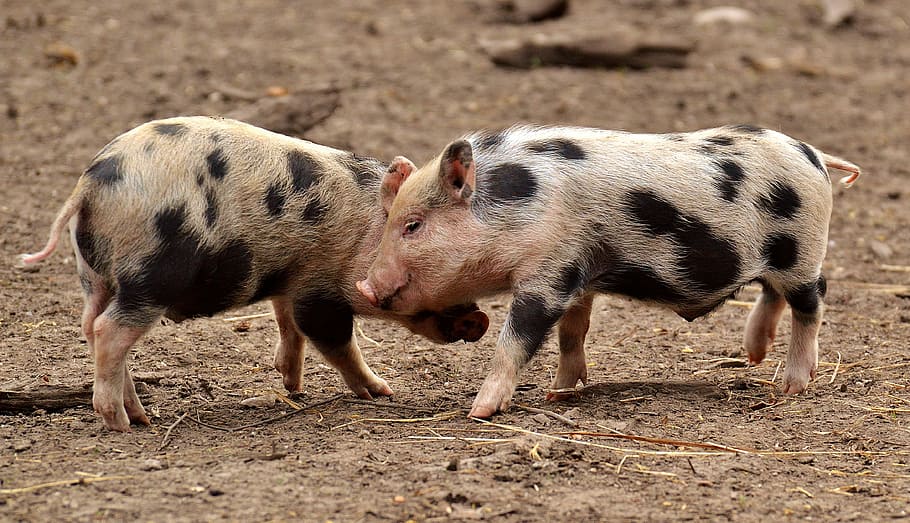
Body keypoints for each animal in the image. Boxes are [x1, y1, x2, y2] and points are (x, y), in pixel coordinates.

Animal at [20, 116, 489, 432]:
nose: (478, 319)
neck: (363, 232)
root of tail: (91, 184)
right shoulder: (319, 288)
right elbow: (334, 341)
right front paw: (383, 392)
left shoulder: (292, 280)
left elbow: (288, 325)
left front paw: (293, 386)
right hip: (152, 275)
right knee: (109, 331)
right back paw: (122, 424)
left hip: (95, 275)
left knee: (92, 327)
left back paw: (141, 416)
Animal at [357, 124, 862, 418]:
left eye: (413, 225)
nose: (365, 285)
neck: (519, 207)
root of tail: (814, 153)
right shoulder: (577, 274)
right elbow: (571, 332)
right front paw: (558, 393)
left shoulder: (547, 274)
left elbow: (516, 340)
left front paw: (479, 412)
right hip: (776, 258)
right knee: (773, 293)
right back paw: (754, 353)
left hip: (802, 251)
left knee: (813, 301)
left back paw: (791, 387)